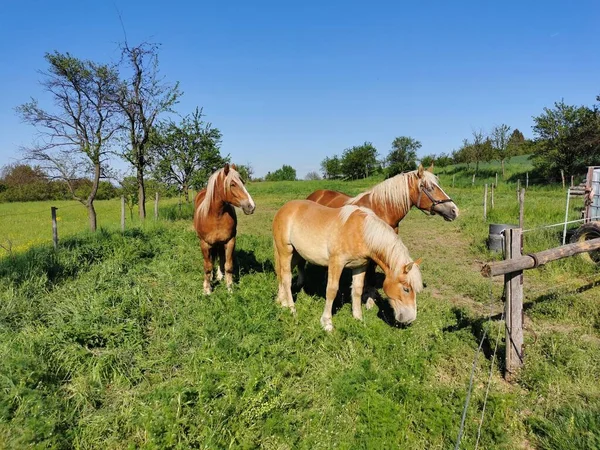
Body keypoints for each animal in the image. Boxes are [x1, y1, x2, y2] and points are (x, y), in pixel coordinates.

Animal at [195, 163, 255, 294]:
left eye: (243, 182)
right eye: (232, 184)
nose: (251, 206)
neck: (216, 215)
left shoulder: (230, 241)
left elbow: (228, 265)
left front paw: (229, 288)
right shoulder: (205, 243)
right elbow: (207, 266)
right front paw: (207, 289)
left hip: (220, 243)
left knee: (220, 258)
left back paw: (219, 275)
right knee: (212, 259)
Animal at [272, 200, 422, 330]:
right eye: (406, 289)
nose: (410, 318)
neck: (361, 232)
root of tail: (283, 209)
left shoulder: (360, 266)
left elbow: (357, 290)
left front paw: (358, 318)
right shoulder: (336, 263)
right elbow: (331, 291)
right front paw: (327, 323)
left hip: (296, 254)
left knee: (282, 275)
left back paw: (281, 302)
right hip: (285, 251)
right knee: (286, 278)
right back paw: (292, 309)